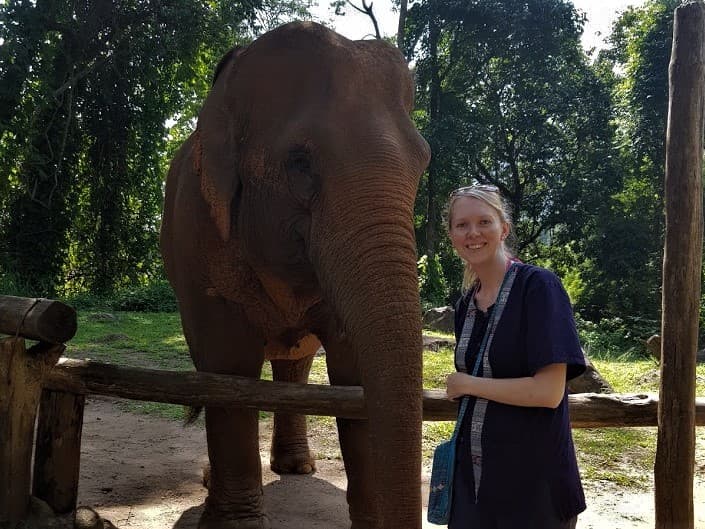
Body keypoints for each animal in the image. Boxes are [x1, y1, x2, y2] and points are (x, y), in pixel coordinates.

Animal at [161, 20, 428, 528]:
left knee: (295, 364)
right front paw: (235, 525)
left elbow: (355, 374)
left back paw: (297, 467)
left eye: (423, 161)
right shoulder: (200, 231)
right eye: (299, 162)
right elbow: (228, 368)